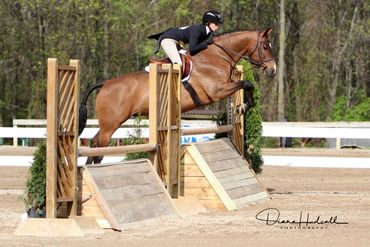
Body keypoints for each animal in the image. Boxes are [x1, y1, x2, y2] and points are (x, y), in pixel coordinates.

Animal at [79, 28, 276, 163]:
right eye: (266, 46)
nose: (272, 70)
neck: (217, 56)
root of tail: (106, 84)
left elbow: (246, 85)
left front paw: (241, 107)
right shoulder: (217, 91)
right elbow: (246, 83)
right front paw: (243, 106)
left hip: (112, 122)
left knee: (94, 143)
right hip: (111, 123)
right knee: (98, 147)